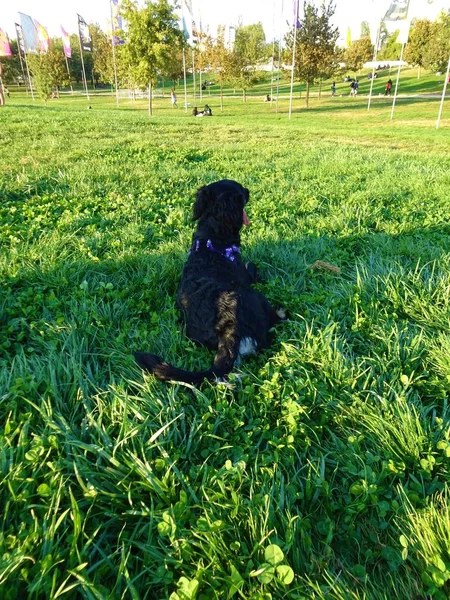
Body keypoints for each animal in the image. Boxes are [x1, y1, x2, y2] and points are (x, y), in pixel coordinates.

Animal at [135, 179, 286, 384]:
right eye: (241, 193)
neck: (211, 239)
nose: (248, 190)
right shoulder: (245, 275)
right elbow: (252, 267)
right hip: (256, 297)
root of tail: (230, 327)